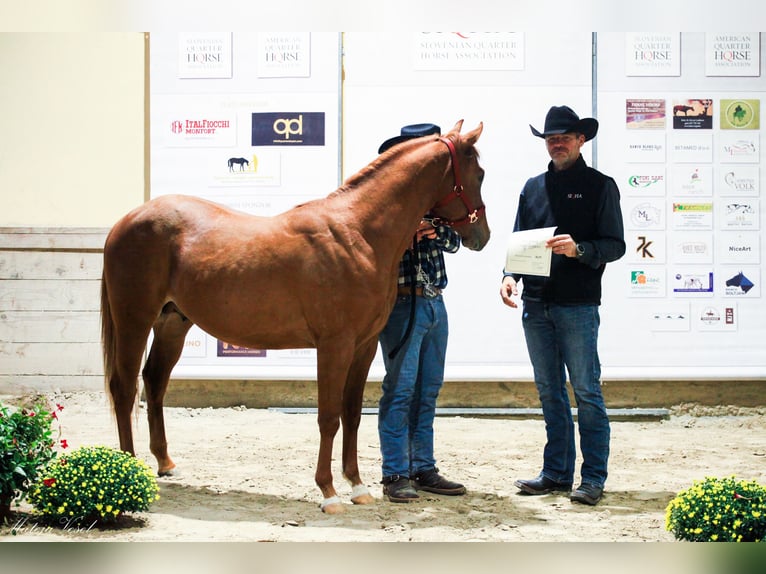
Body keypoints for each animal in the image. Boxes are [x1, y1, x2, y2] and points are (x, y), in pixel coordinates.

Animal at [100, 119, 492, 516]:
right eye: (479, 173)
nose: (483, 236)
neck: (358, 233)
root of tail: (124, 222)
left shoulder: (364, 346)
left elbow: (352, 414)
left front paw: (357, 486)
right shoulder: (334, 345)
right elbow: (328, 417)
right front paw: (329, 492)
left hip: (172, 323)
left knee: (154, 380)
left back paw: (165, 463)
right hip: (134, 319)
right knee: (124, 387)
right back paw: (130, 468)